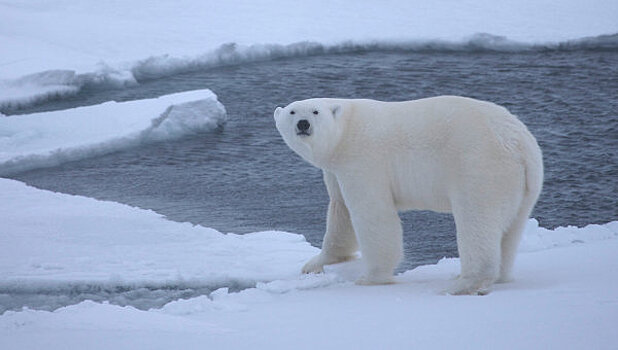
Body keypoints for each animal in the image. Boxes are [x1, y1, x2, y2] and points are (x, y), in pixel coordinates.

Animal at [274, 96, 540, 296]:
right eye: (292, 112)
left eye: (315, 111)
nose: (303, 124)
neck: (345, 132)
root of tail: (519, 143)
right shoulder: (335, 170)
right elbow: (341, 211)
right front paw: (316, 264)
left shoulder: (363, 159)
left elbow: (372, 213)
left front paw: (370, 278)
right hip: (524, 184)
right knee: (511, 229)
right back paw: (496, 276)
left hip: (479, 165)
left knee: (477, 220)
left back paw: (463, 284)